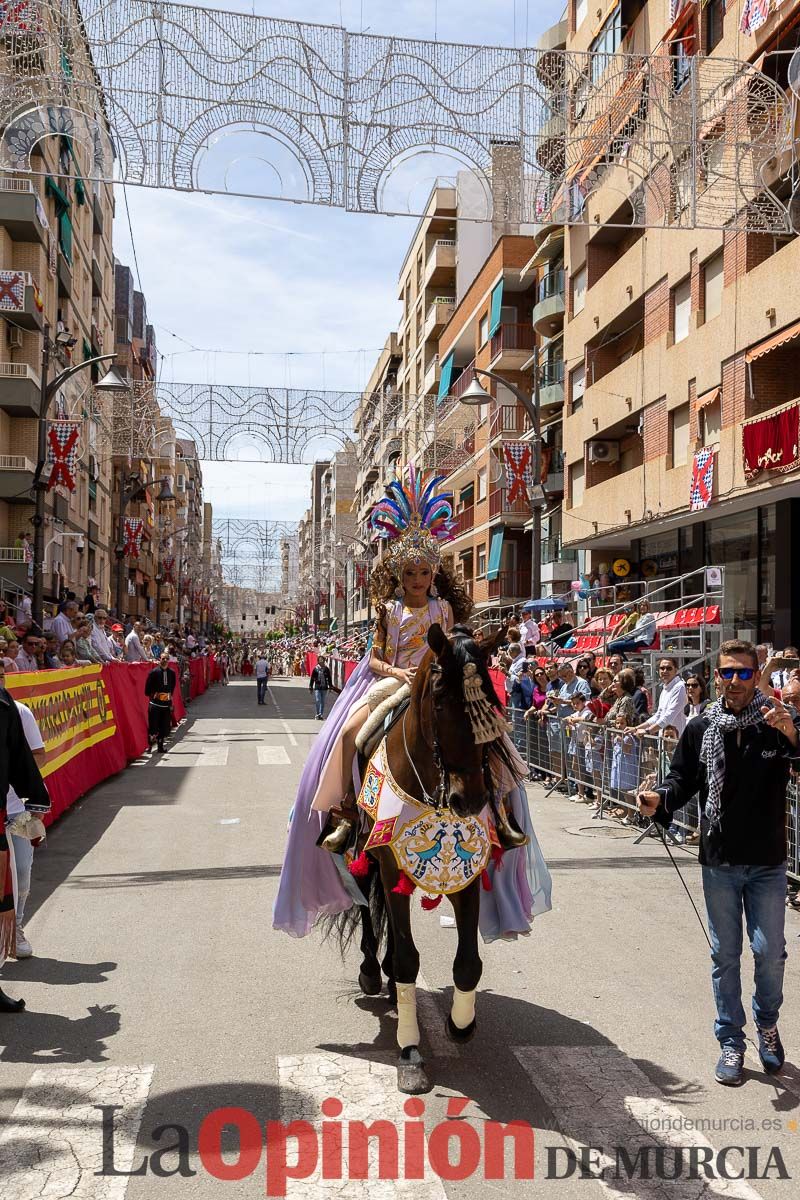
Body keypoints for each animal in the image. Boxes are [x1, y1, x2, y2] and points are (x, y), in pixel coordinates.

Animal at [326, 624, 520, 1094]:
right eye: (440, 698)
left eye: (492, 698)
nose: (471, 800)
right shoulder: (388, 860)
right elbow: (408, 960)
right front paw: (410, 1053)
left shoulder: (467, 874)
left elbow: (468, 964)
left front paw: (460, 1025)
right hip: (368, 855)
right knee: (369, 908)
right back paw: (371, 971)